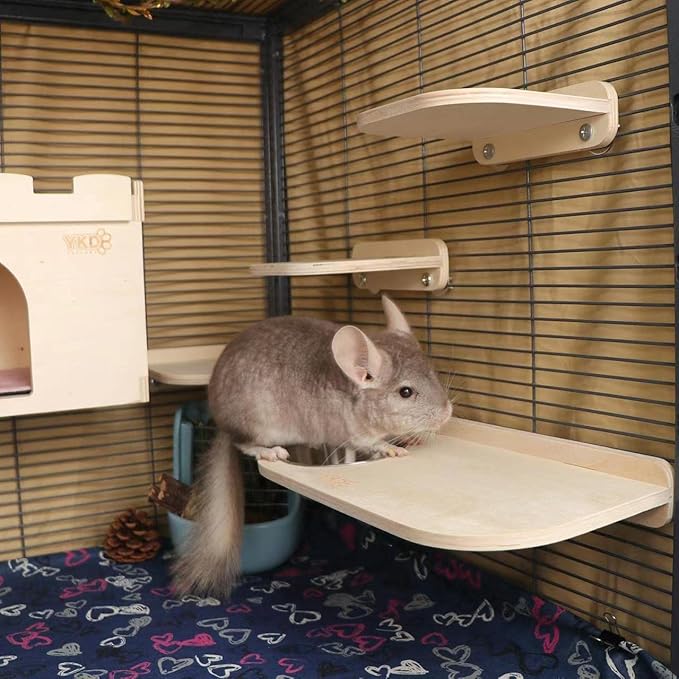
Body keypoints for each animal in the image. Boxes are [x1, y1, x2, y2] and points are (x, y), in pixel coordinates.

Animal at [171, 295, 452, 596]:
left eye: (434, 373)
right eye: (406, 392)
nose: (448, 413)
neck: (353, 394)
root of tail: (222, 422)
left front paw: (407, 438)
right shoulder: (353, 433)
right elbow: (372, 444)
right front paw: (394, 448)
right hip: (259, 424)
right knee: (244, 444)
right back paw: (271, 452)